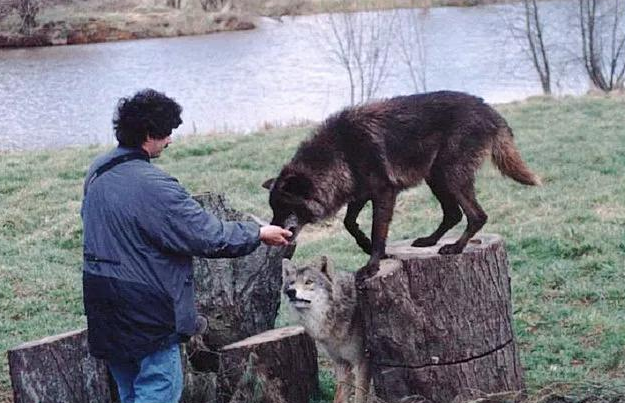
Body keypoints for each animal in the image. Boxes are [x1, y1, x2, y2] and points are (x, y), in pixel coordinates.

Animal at [260, 92, 540, 280]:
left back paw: (455, 248)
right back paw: (429, 241)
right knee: (453, 214)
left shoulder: (384, 193)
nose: (270, 233)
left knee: (477, 215)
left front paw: (372, 264)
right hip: (436, 178)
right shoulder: (360, 193)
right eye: (273, 208)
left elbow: (378, 231)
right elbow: (349, 223)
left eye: (283, 207)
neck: (341, 151)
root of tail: (488, 109)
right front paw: (365, 245)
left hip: (449, 177)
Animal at [282, 258, 368, 402]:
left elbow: (360, 397)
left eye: (309, 282)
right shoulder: (341, 363)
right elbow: (341, 395)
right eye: (291, 283)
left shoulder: (362, 362)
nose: (290, 292)